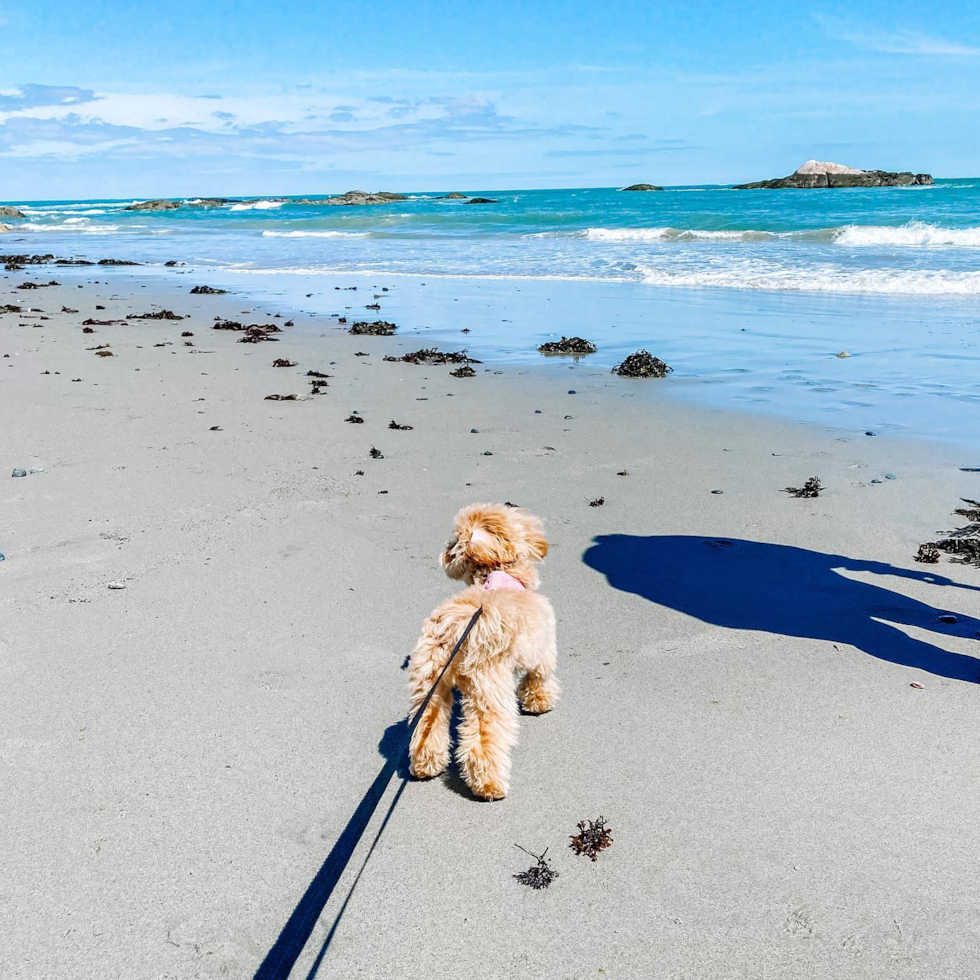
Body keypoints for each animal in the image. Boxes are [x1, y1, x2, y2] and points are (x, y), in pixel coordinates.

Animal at [406, 502, 560, 800]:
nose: (446, 551)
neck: (500, 575)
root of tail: (454, 626)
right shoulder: (542, 648)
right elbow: (539, 677)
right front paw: (540, 702)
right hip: (488, 687)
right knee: (482, 738)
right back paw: (489, 785)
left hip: (430, 681)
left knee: (426, 724)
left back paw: (425, 765)